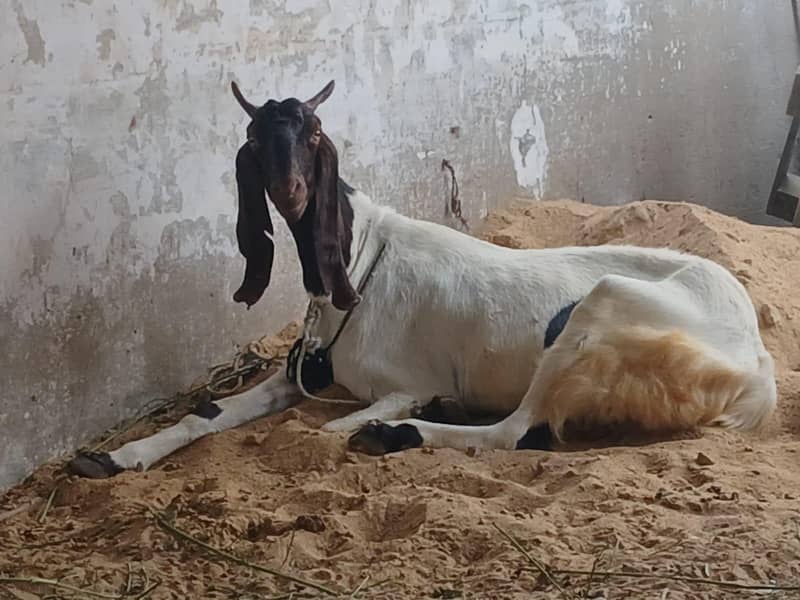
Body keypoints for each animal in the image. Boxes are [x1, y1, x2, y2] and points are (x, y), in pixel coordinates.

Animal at [68, 81, 777, 478]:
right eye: (254, 136)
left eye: (313, 133)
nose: (290, 192)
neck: (360, 264)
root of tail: (755, 365)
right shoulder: (300, 371)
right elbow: (209, 414)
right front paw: (112, 457)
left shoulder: (403, 382)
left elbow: (328, 431)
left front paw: (392, 422)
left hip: (603, 311)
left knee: (514, 431)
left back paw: (402, 433)